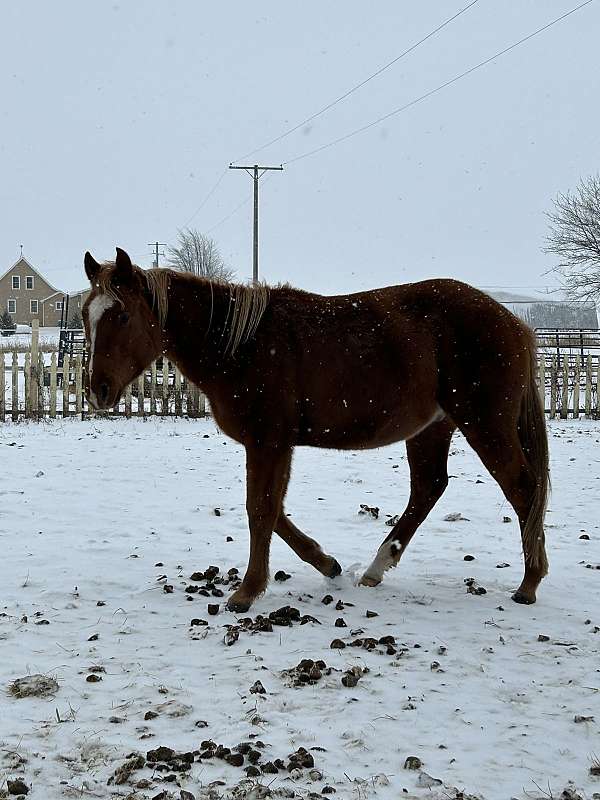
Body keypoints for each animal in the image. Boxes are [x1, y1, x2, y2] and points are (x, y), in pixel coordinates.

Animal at [83, 250, 548, 612]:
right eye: (87, 315)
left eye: (121, 314)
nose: (98, 390)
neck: (241, 345)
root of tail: (514, 324)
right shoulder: (275, 445)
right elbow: (274, 512)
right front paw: (328, 565)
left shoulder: (268, 442)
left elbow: (260, 510)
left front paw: (247, 592)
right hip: (432, 429)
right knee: (429, 489)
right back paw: (376, 569)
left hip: (485, 424)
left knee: (522, 487)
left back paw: (529, 583)